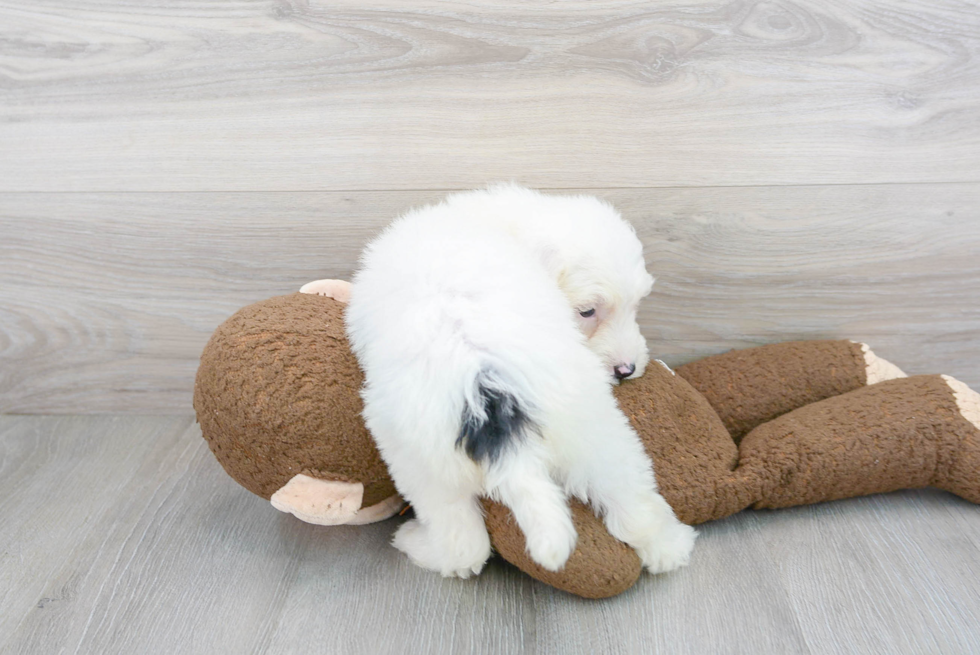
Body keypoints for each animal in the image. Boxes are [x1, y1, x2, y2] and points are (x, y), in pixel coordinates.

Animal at [344, 184, 696, 580]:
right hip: (590, 424)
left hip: (416, 458)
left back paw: (416, 544)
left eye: (635, 306)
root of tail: (491, 393)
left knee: (461, 544)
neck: (503, 222)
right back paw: (668, 548)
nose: (626, 369)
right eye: (587, 311)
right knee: (631, 497)